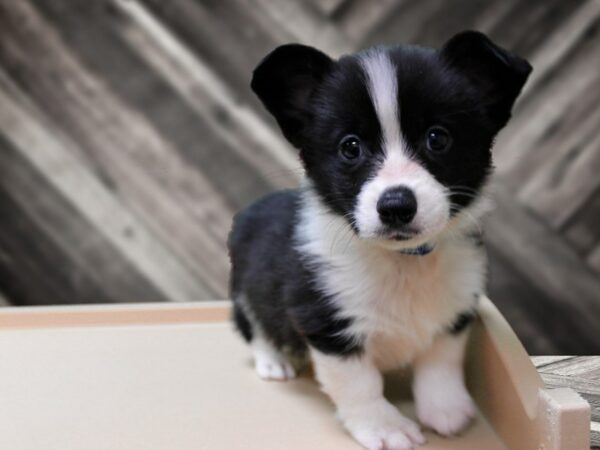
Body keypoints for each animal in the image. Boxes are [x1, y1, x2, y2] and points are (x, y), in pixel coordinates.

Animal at [229, 31, 528, 450]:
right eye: (350, 147)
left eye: (438, 138)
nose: (396, 206)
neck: (403, 261)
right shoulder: (327, 322)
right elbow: (359, 383)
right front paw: (384, 426)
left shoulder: (456, 306)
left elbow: (441, 361)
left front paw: (446, 409)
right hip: (246, 289)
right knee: (253, 325)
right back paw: (274, 361)